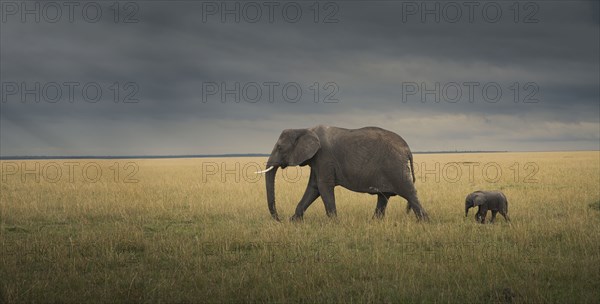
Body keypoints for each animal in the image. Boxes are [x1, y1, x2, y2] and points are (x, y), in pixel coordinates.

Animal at [255, 124, 428, 222]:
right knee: (383, 197)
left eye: (279, 147)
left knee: (409, 193)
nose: (279, 219)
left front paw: (334, 223)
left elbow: (323, 187)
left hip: (395, 166)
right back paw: (374, 222)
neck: (305, 129)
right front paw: (294, 221)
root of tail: (407, 148)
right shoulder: (316, 160)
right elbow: (313, 188)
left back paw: (424, 222)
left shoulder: (323, 157)